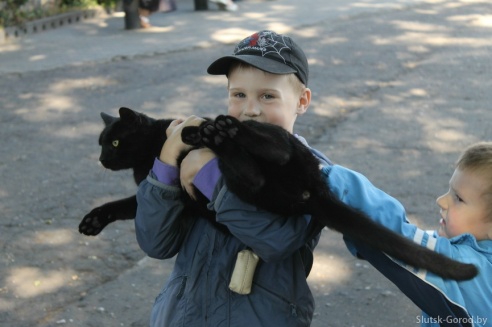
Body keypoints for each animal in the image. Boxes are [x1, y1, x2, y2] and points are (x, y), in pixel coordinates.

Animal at [181, 115, 476, 282]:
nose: (200, 132)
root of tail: (311, 190)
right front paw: (206, 134)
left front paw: (209, 131)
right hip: (249, 182)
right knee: (259, 169)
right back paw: (223, 136)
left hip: (279, 147)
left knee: (275, 149)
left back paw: (226, 129)